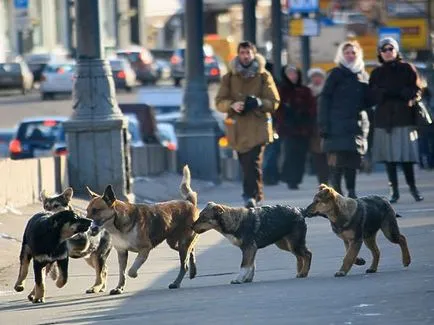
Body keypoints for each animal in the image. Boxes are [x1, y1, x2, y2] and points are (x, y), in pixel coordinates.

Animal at [85, 165, 200, 294]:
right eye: (87, 211)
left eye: (96, 210)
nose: (86, 226)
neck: (117, 223)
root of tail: (189, 202)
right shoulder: (122, 252)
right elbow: (122, 273)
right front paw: (119, 287)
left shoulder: (145, 249)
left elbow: (130, 270)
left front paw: (134, 274)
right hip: (174, 243)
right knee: (191, 250)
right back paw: (193, 271)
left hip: (182, 243)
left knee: (184, 265)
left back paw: (176, 283)